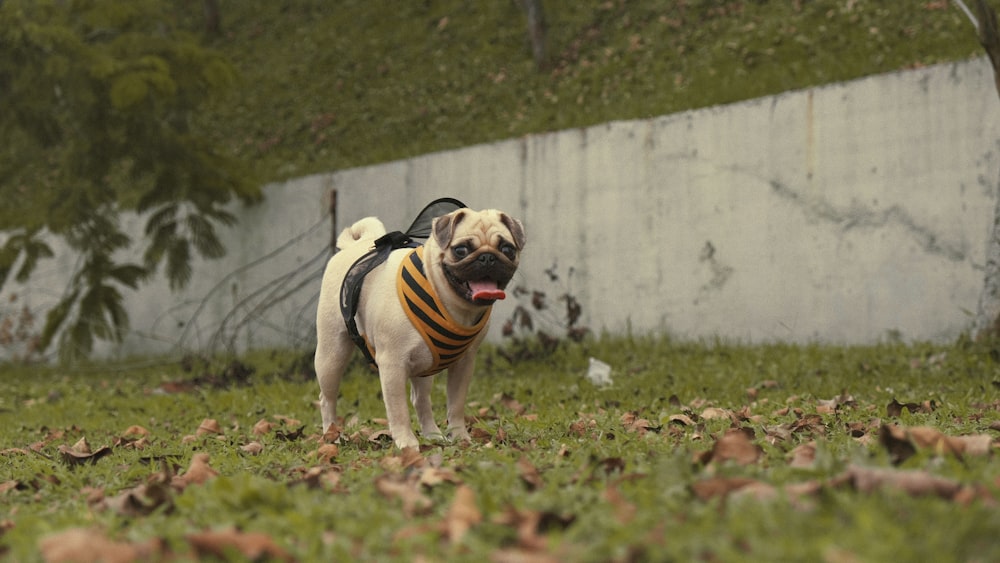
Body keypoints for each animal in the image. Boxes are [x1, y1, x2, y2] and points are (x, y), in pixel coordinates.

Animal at [316, 207, 528, 450]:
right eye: (461, 250)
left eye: (507, 249)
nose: (488, 257)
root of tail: (353, 246)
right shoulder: (392, 364)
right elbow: (398, 410)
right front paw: (406, 443)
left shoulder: (464, 364)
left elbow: (456, 405)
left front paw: (459, 436)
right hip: (332, 355)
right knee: (327, 398)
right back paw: (332, 436)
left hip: (426, 364)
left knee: (421, 400)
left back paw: (433, 434)